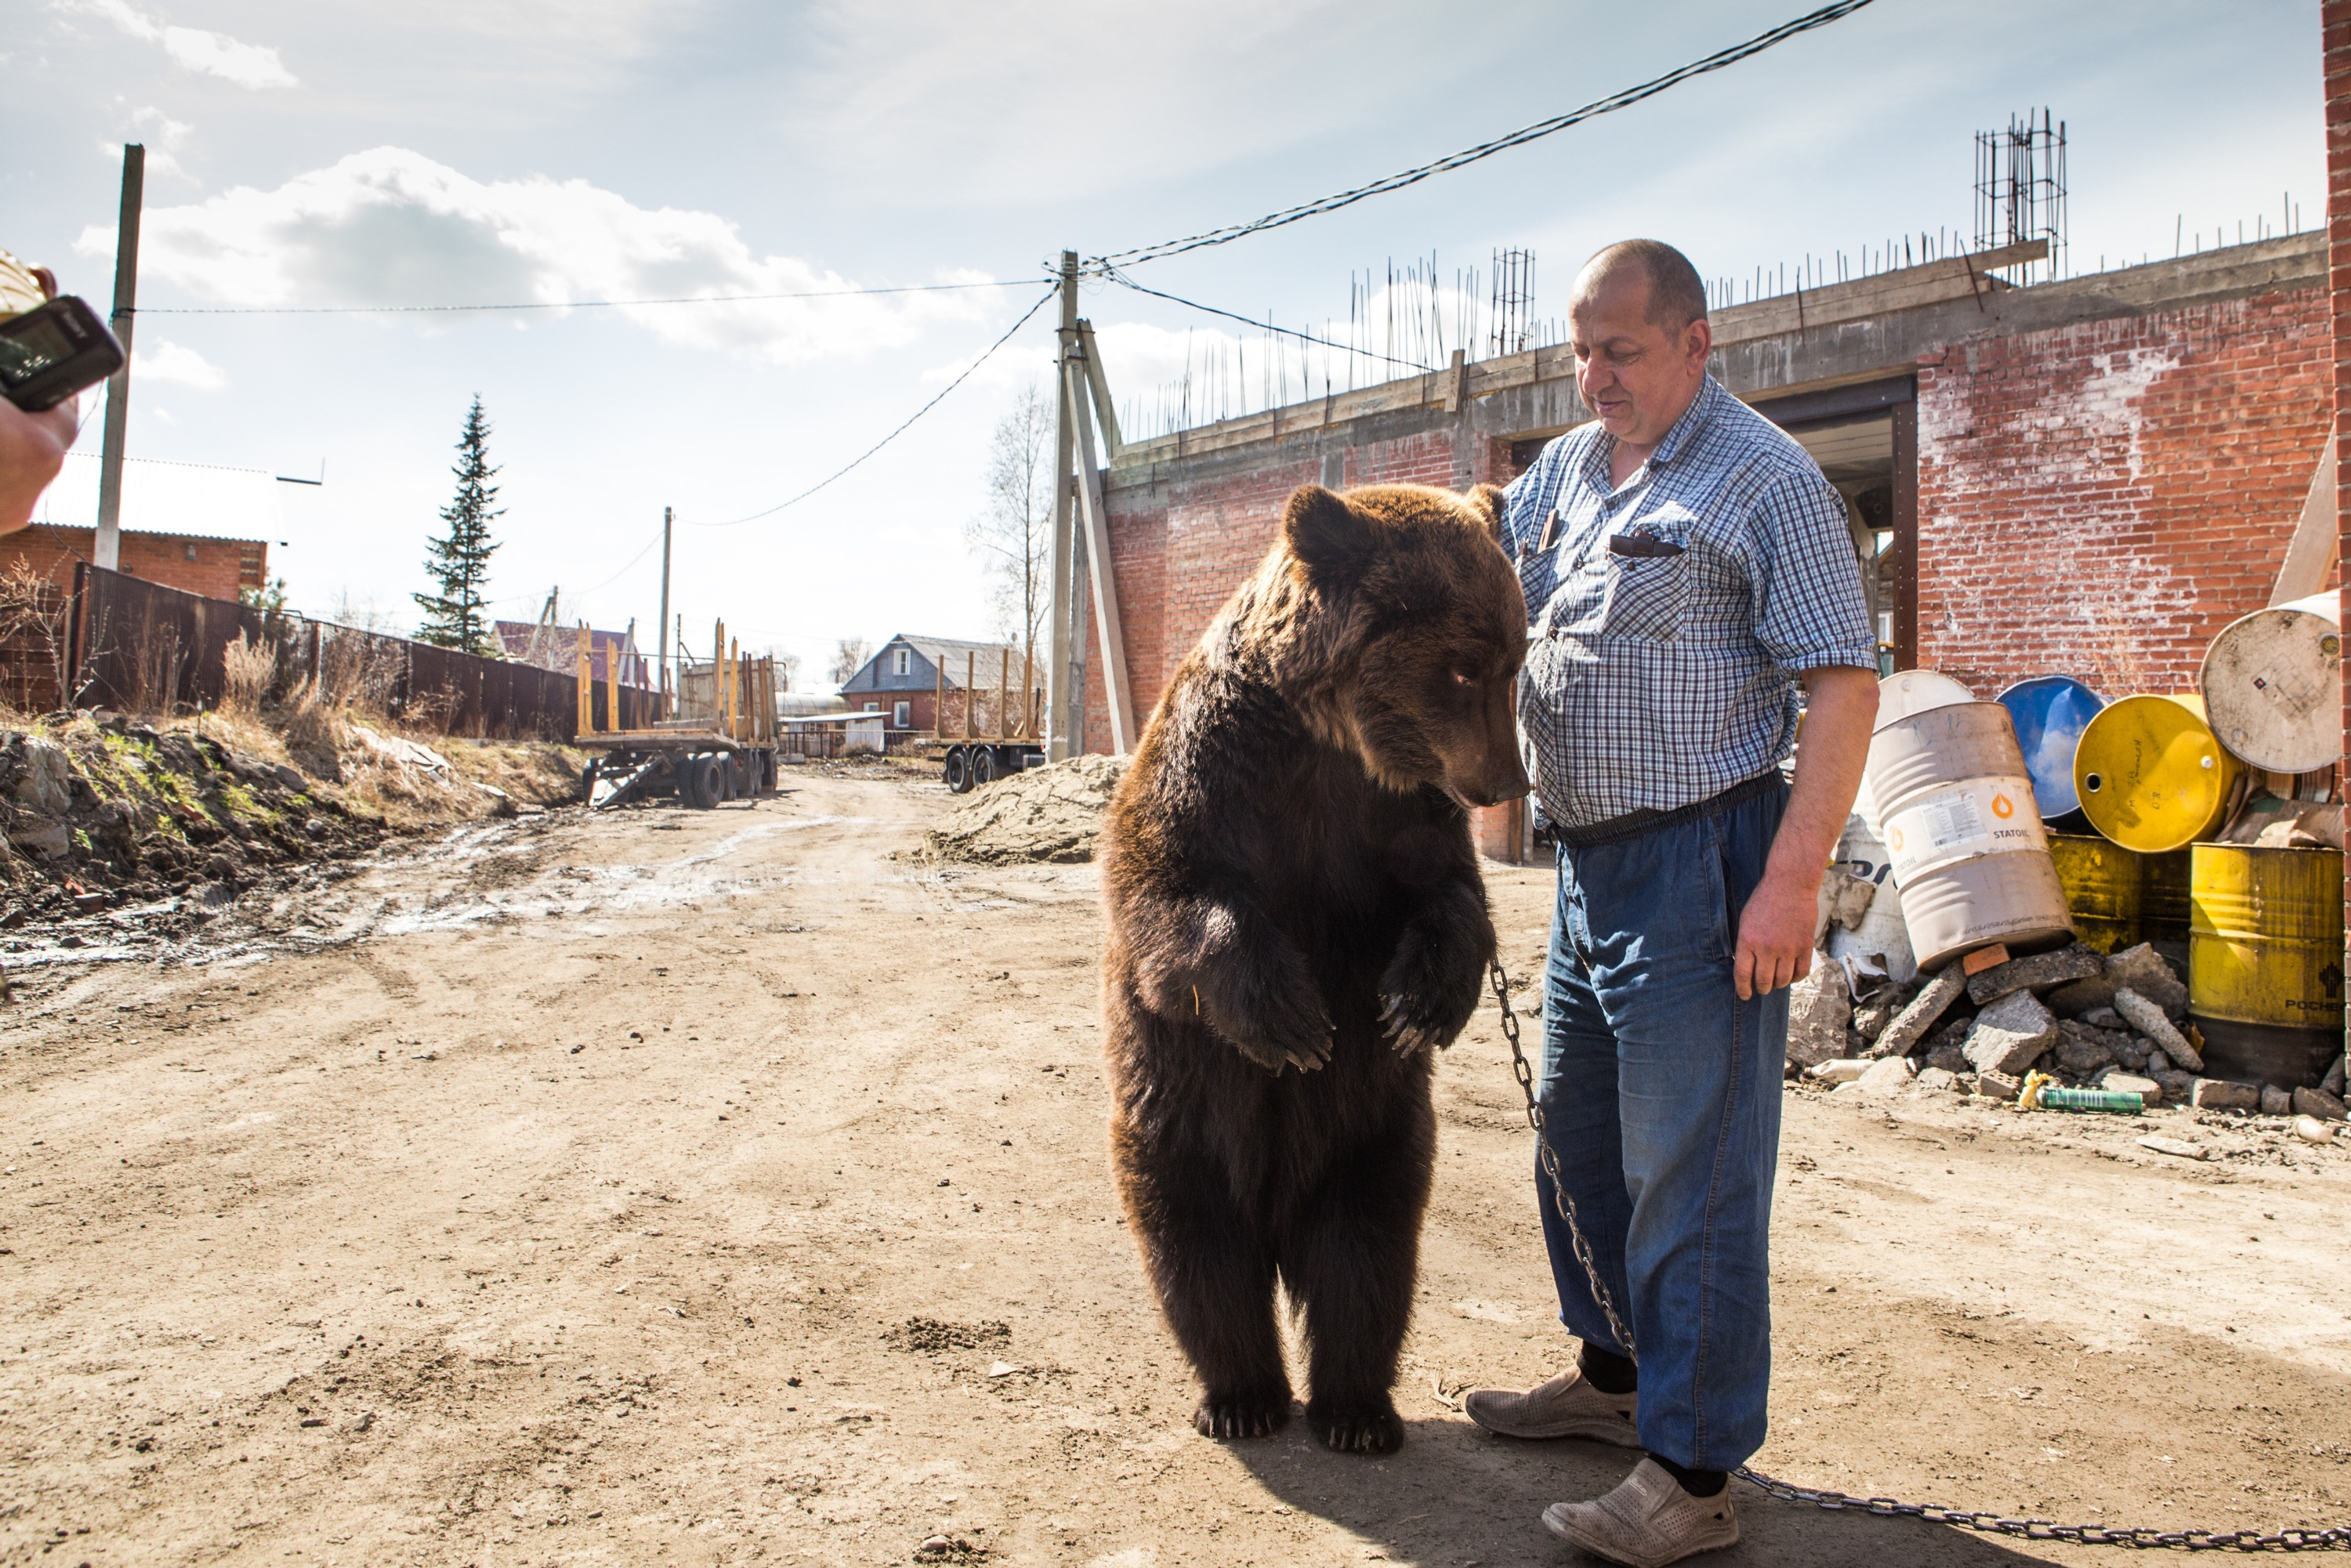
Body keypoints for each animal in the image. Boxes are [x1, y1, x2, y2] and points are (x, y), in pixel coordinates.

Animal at [1096, 484, 1523, 1458]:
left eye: (1514, 660)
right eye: (1462, 670)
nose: (1505, 782)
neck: (1334, 744)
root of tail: (1276, 1217)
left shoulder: (1398, 817)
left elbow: (1453, 896)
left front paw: (1417, 1003)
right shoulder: (1218, 764)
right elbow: (1161, 885)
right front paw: (1292, 1021)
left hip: (1373, 1135)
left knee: (1365, 1257)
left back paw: (1356, 1412)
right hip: (1182, 1121)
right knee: (1198, 1253)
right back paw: (1241, 1396)